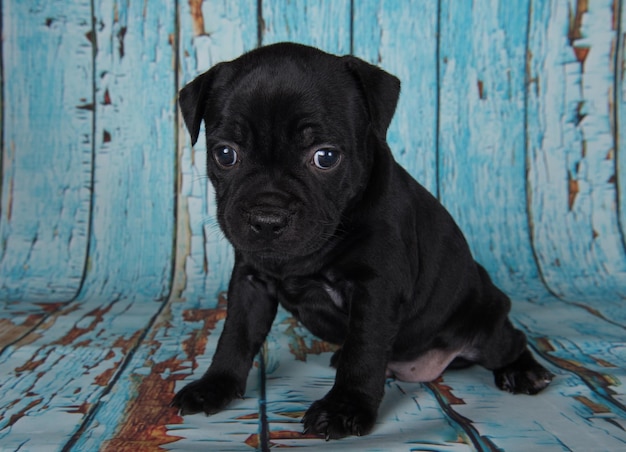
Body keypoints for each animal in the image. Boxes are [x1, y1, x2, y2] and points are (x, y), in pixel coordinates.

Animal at [171, 41, 552, 438]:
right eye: (225, 154)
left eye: (325, 157)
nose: (267, 218)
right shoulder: (250, 282)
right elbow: (235, 335)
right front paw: (215, 385)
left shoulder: (375, 290)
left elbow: (364, 351)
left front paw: (344, 407)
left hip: (484, 324)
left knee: (509, 340)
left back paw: (525, 371)